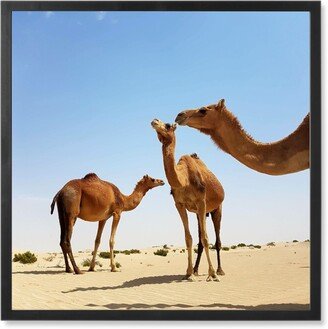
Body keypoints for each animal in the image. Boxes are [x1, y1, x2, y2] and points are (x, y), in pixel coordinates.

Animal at [151, 119, 226, 280]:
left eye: (168, 125)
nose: (154, 121)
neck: (183, 180)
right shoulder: (179, 204)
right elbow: (188, 238)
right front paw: (189, 273)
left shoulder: (201, 201)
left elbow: (206, 238)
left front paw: (211, 274)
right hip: (199, 213)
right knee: (199, 239)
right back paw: (196, 270)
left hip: (217, 208)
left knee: (217, 240)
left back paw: (219, 270)